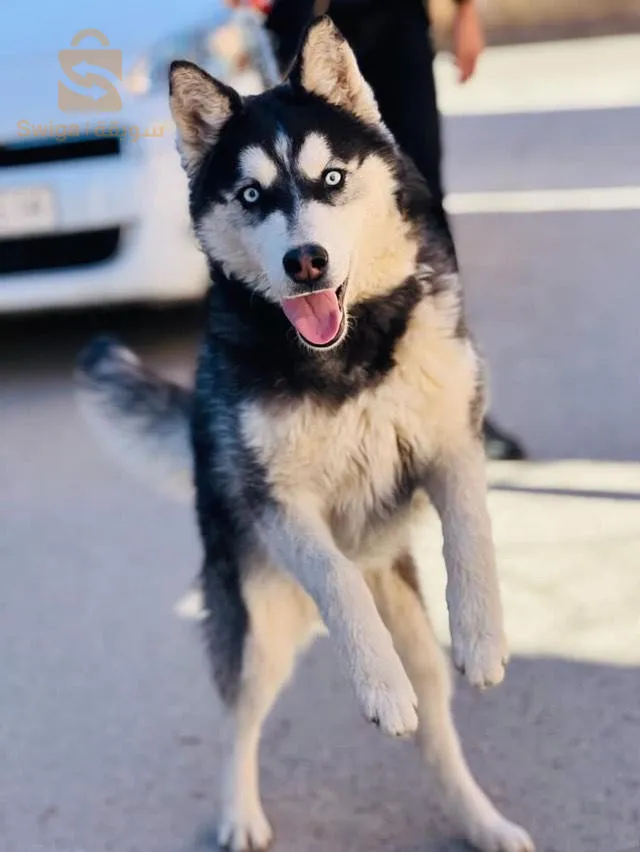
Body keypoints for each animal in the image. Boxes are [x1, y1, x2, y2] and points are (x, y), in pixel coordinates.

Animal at [75, 17, 534, 852]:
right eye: (253, 195)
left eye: (332, 180)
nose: (306, 261)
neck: (350, 354)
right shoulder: (279, 504)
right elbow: (337, 577)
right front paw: (377, 685)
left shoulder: (451, 441)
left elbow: (471, 531)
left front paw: (483, 637)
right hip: (260, 621)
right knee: (241, 718)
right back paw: (240, 813)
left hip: (409, 624)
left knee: (437, 728)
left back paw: (479, 819)